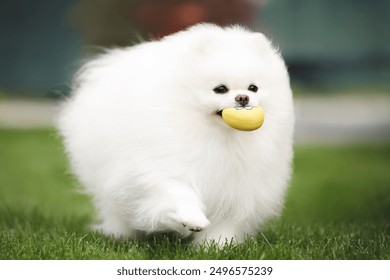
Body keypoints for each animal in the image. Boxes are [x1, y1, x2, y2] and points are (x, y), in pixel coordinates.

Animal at [58, 23, 292, 245]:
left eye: (253, 88)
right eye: (220, 89)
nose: (242, 98)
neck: (216, 137)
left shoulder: (237, 189)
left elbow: (225, 222)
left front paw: (216, 245)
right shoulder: (161, 167)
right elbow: (179, 192)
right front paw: (192, 219)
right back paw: (120, 234)